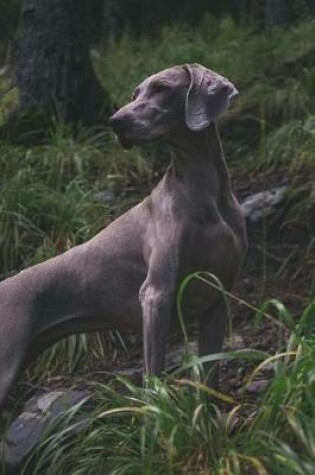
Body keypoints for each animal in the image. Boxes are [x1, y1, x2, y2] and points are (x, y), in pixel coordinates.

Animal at [0, 64, 247, 412]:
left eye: (161, 88)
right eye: (135, 93)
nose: (115, 121)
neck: (205, 191)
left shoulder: (217, 296)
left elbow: (209, 380)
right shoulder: (156, 295)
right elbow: (154, 376)